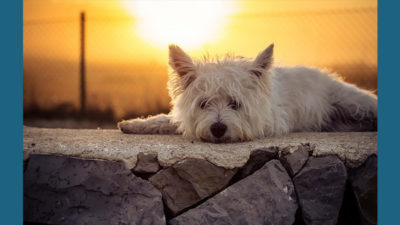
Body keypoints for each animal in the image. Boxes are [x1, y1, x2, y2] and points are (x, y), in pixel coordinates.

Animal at [117, 44, 376, 142]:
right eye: (204, 103)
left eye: (236, 104)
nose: (218, 129)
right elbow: (168, 120)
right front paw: (135, 124)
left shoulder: (272, 121)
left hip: (354, 101)